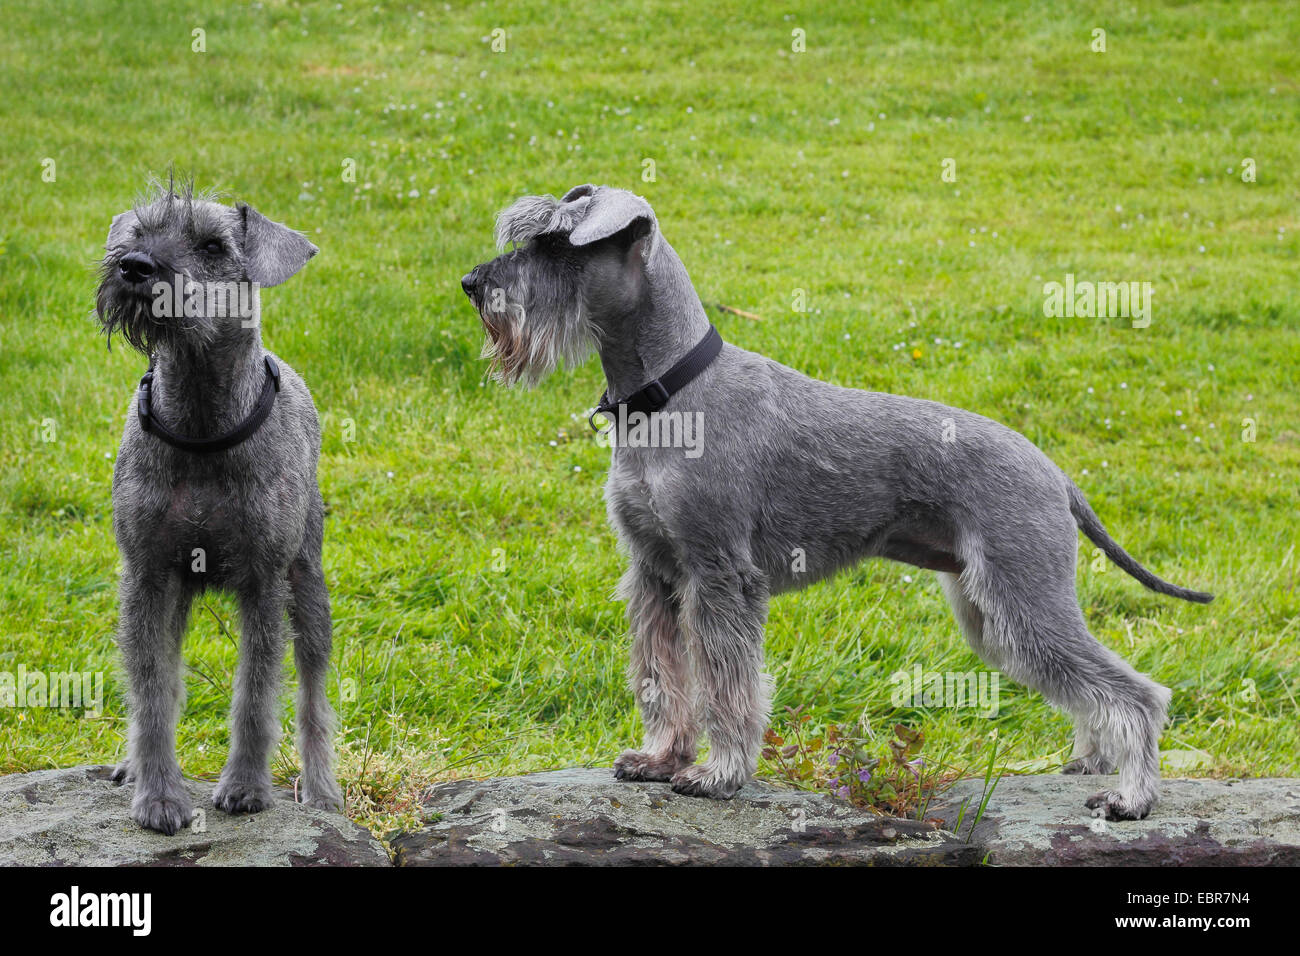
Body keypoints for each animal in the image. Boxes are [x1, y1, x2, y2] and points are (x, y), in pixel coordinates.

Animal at [94, 178, 340, 832]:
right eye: (138, 231)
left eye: (211, 245)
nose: (134, 266)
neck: (201, 420)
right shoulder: (147, 578)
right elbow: (153, 690)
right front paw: (158, 795)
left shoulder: (264, 583)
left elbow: (256, 692)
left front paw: (246, 787)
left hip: (309, 588)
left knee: (313, 692)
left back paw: (322, 789)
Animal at [462, 184, 1211, 822]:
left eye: (557, 245)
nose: (473, 284)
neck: (670, 395)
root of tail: (1055, 473)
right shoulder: (654, 574)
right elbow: (661, 676)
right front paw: (659, 757)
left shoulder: (720, 576)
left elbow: (727, 685)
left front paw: (718, 773)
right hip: (993, 615)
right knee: (1089, 688)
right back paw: (1091, 764)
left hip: (1025, 599)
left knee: (1137, 693)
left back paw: (1131, 797)